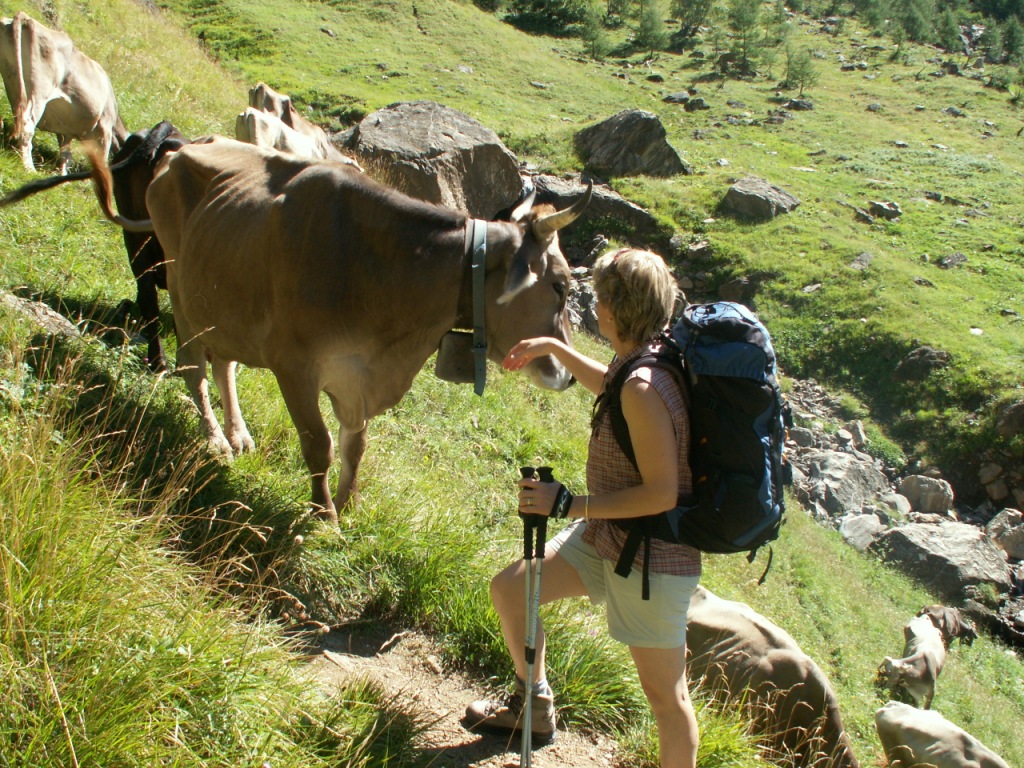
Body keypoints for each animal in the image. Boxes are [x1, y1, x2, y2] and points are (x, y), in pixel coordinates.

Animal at [0, 12, 126, 174]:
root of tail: (26, 18)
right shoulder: (105, 124)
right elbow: (102, 157)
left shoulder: (65, 130)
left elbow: (66, 155)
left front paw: (63, 174)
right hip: (39, 91)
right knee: (27, 125)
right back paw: (29, 168)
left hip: (13, 82)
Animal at [87, 137, 591, 523]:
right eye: (561, 285)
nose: (569, 376)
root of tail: (179, 150)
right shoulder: (293, 366)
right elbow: (320, 444)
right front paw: (324, 514)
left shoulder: (357, 376)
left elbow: (356, 446)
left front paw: (349, 504)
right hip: (178, 283)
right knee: (193, 367)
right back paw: (215, 439)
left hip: (222, 298)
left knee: (224, 363)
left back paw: (238, 433)